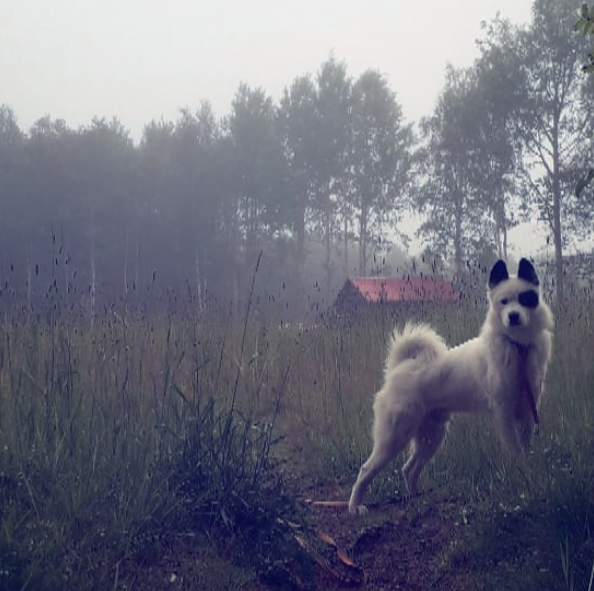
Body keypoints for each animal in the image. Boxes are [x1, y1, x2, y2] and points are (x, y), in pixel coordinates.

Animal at [346, 260, 552, 512]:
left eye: (524, 298)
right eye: (503, 301)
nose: (513, 316)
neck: (518, 347)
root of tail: (399, 368)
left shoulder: (527, 409)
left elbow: (525, 445)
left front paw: (526, 469)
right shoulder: (504, 411)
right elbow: (513, 447)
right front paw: (518, 470)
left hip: (430, 436)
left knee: (409, 469)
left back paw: (416, 498)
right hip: (395, 436)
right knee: (366, 469)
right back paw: (355, 507)